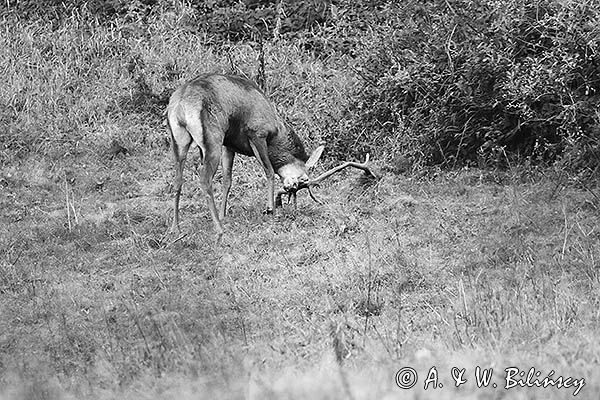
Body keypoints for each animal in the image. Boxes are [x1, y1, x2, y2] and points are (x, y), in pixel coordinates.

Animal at [168, 73, 376, 239]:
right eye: (304, 179)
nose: (291, 188)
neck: (277, 129)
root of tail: (181, 103)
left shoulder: (229, 145)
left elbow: (228, 180)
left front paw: (223, 213)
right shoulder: (257, 135)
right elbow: (268, 170)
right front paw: (270, 209)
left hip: (180, 142)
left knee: (178, 180)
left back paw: (176, 228)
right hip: (212, 143)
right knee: (204, 179)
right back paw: (218, 230)